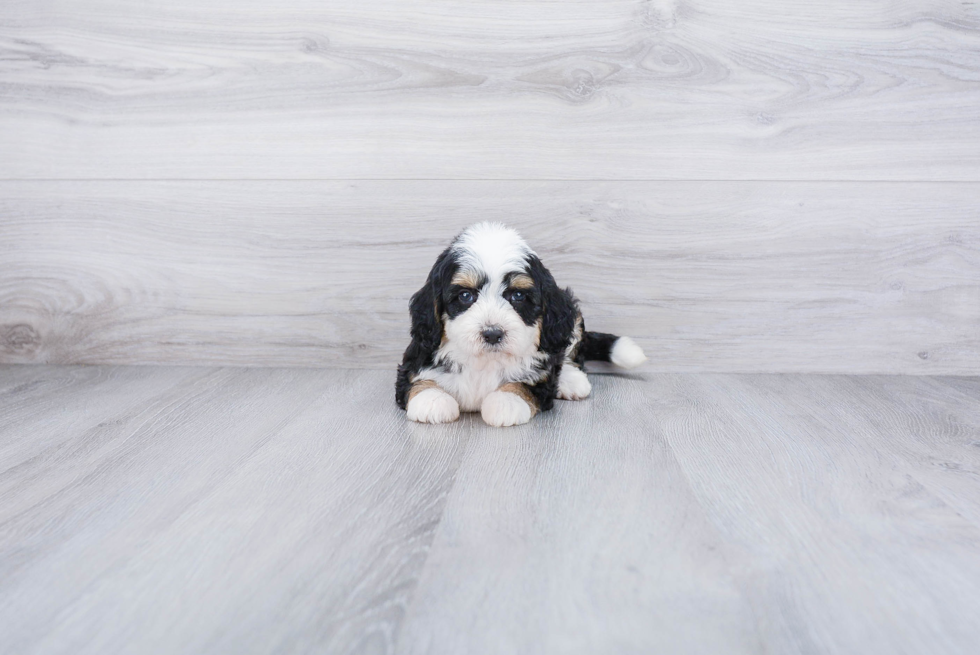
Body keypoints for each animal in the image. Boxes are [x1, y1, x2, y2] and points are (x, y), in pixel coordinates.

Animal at [394, 223, 648, 428]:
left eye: (517, 296)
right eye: (465, 296)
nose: (492, 334)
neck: (485, 361)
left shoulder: (540, 376)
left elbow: (526, 383)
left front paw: (506, 401)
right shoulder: (417, 358)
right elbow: (417, 380)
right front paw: (432, 400)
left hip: (570, 320)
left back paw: (571, 381)